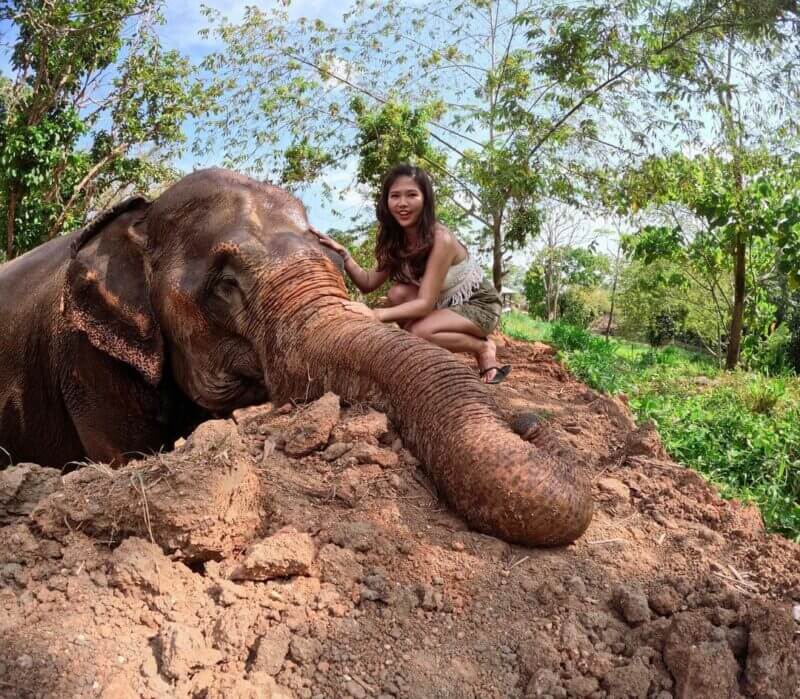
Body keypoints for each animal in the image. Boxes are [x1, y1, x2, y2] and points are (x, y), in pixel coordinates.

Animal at [1, 168, 592, 548]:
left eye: (328, 253)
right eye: (225, 285)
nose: (528, 421)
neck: (137, 221)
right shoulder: (84, 358)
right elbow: (123, 459)